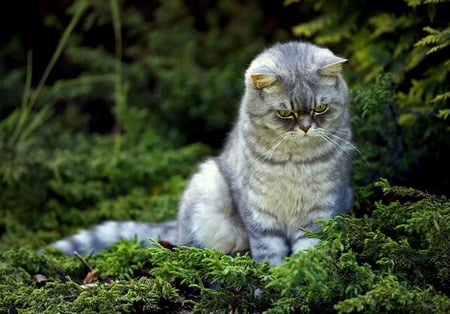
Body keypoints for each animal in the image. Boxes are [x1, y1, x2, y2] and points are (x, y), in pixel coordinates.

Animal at [49, 39, 352, 264]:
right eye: (285, 113)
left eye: (320, 108)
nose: (305, 128)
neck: (294, 162)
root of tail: (177, 228)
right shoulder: (258, 212)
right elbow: (269, 251)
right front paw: (271, 281)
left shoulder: (320, 211)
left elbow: (307, 252)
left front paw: (296, 278)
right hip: (207, 189)